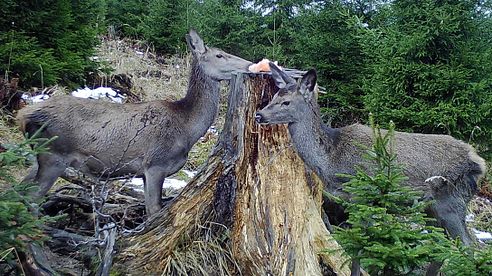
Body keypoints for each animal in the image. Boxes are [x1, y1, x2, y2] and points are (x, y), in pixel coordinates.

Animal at [17, 30, 252, 216]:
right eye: (219, 54)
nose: (250, 65)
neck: (187, 128)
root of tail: (24, 115)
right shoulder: (155, 163)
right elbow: (154, 210)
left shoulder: (145, 173)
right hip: (54, 155)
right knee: (31, 199)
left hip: (40, 157)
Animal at [256, 62, 486, 246]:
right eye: (274, 96)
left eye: (286, 102)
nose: (259, 114)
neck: (331, 160)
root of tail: (478, 163)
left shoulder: (363, 195)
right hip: (432, 208)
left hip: (452, 201)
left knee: (467, 246)